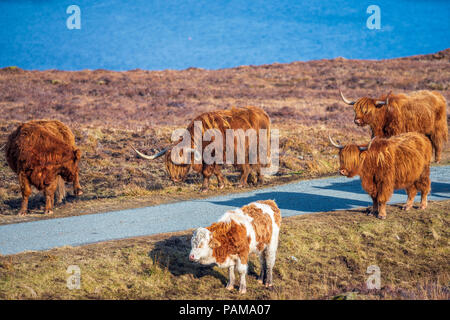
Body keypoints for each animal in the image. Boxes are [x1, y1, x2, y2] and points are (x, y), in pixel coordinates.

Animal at [130, 107, 270, 192]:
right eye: (168, 164)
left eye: (181, 162)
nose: (175, 179)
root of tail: (262, 112)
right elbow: (215, 171)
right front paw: (220, 184)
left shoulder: (214, 156)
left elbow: (207, 172)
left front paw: (204, 187)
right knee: (254, 164)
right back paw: (255, 181)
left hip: (258, 147)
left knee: (254, 164)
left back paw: (245, 182)